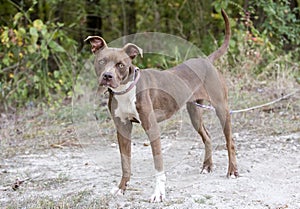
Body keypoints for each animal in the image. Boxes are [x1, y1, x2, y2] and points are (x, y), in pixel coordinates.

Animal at [85, 9, 239, 202]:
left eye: (120, 65)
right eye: (101, 62)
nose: (107, 76)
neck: (126, 90)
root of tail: (206, 60)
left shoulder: (152, 128)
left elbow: (158, 166)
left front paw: (158, 193)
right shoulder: (122, 128)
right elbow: (125, 162)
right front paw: (121, 188)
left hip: (221, 108)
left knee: (229, 141)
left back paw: (232, 171)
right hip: (194, 112)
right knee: (207, 136)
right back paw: (207, 166)